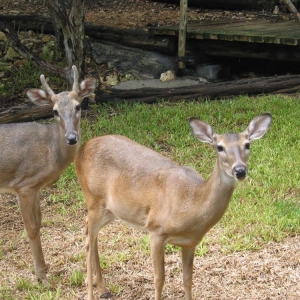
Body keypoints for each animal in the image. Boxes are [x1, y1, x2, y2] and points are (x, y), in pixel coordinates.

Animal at [0, 65, 96, 284]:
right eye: (54, 111)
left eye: (79, 106)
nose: (71, 138)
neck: (51, 151)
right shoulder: (24, 185)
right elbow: (32, 227)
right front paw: (41, 275)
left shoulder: (35, 188)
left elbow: (40, 222)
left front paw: (45, 267)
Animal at [74, 111, 272, 298]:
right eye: (220, 147)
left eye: (247, 144)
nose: (240, 170)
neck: (191, 202)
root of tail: (82, 149)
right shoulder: (156, 229)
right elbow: (159, 279)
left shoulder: (190, 242)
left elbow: (188, 280)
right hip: (93, 198)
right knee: (88, 238)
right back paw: (91, 290)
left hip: (112, 209)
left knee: (88, 228)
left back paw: (101, 287)